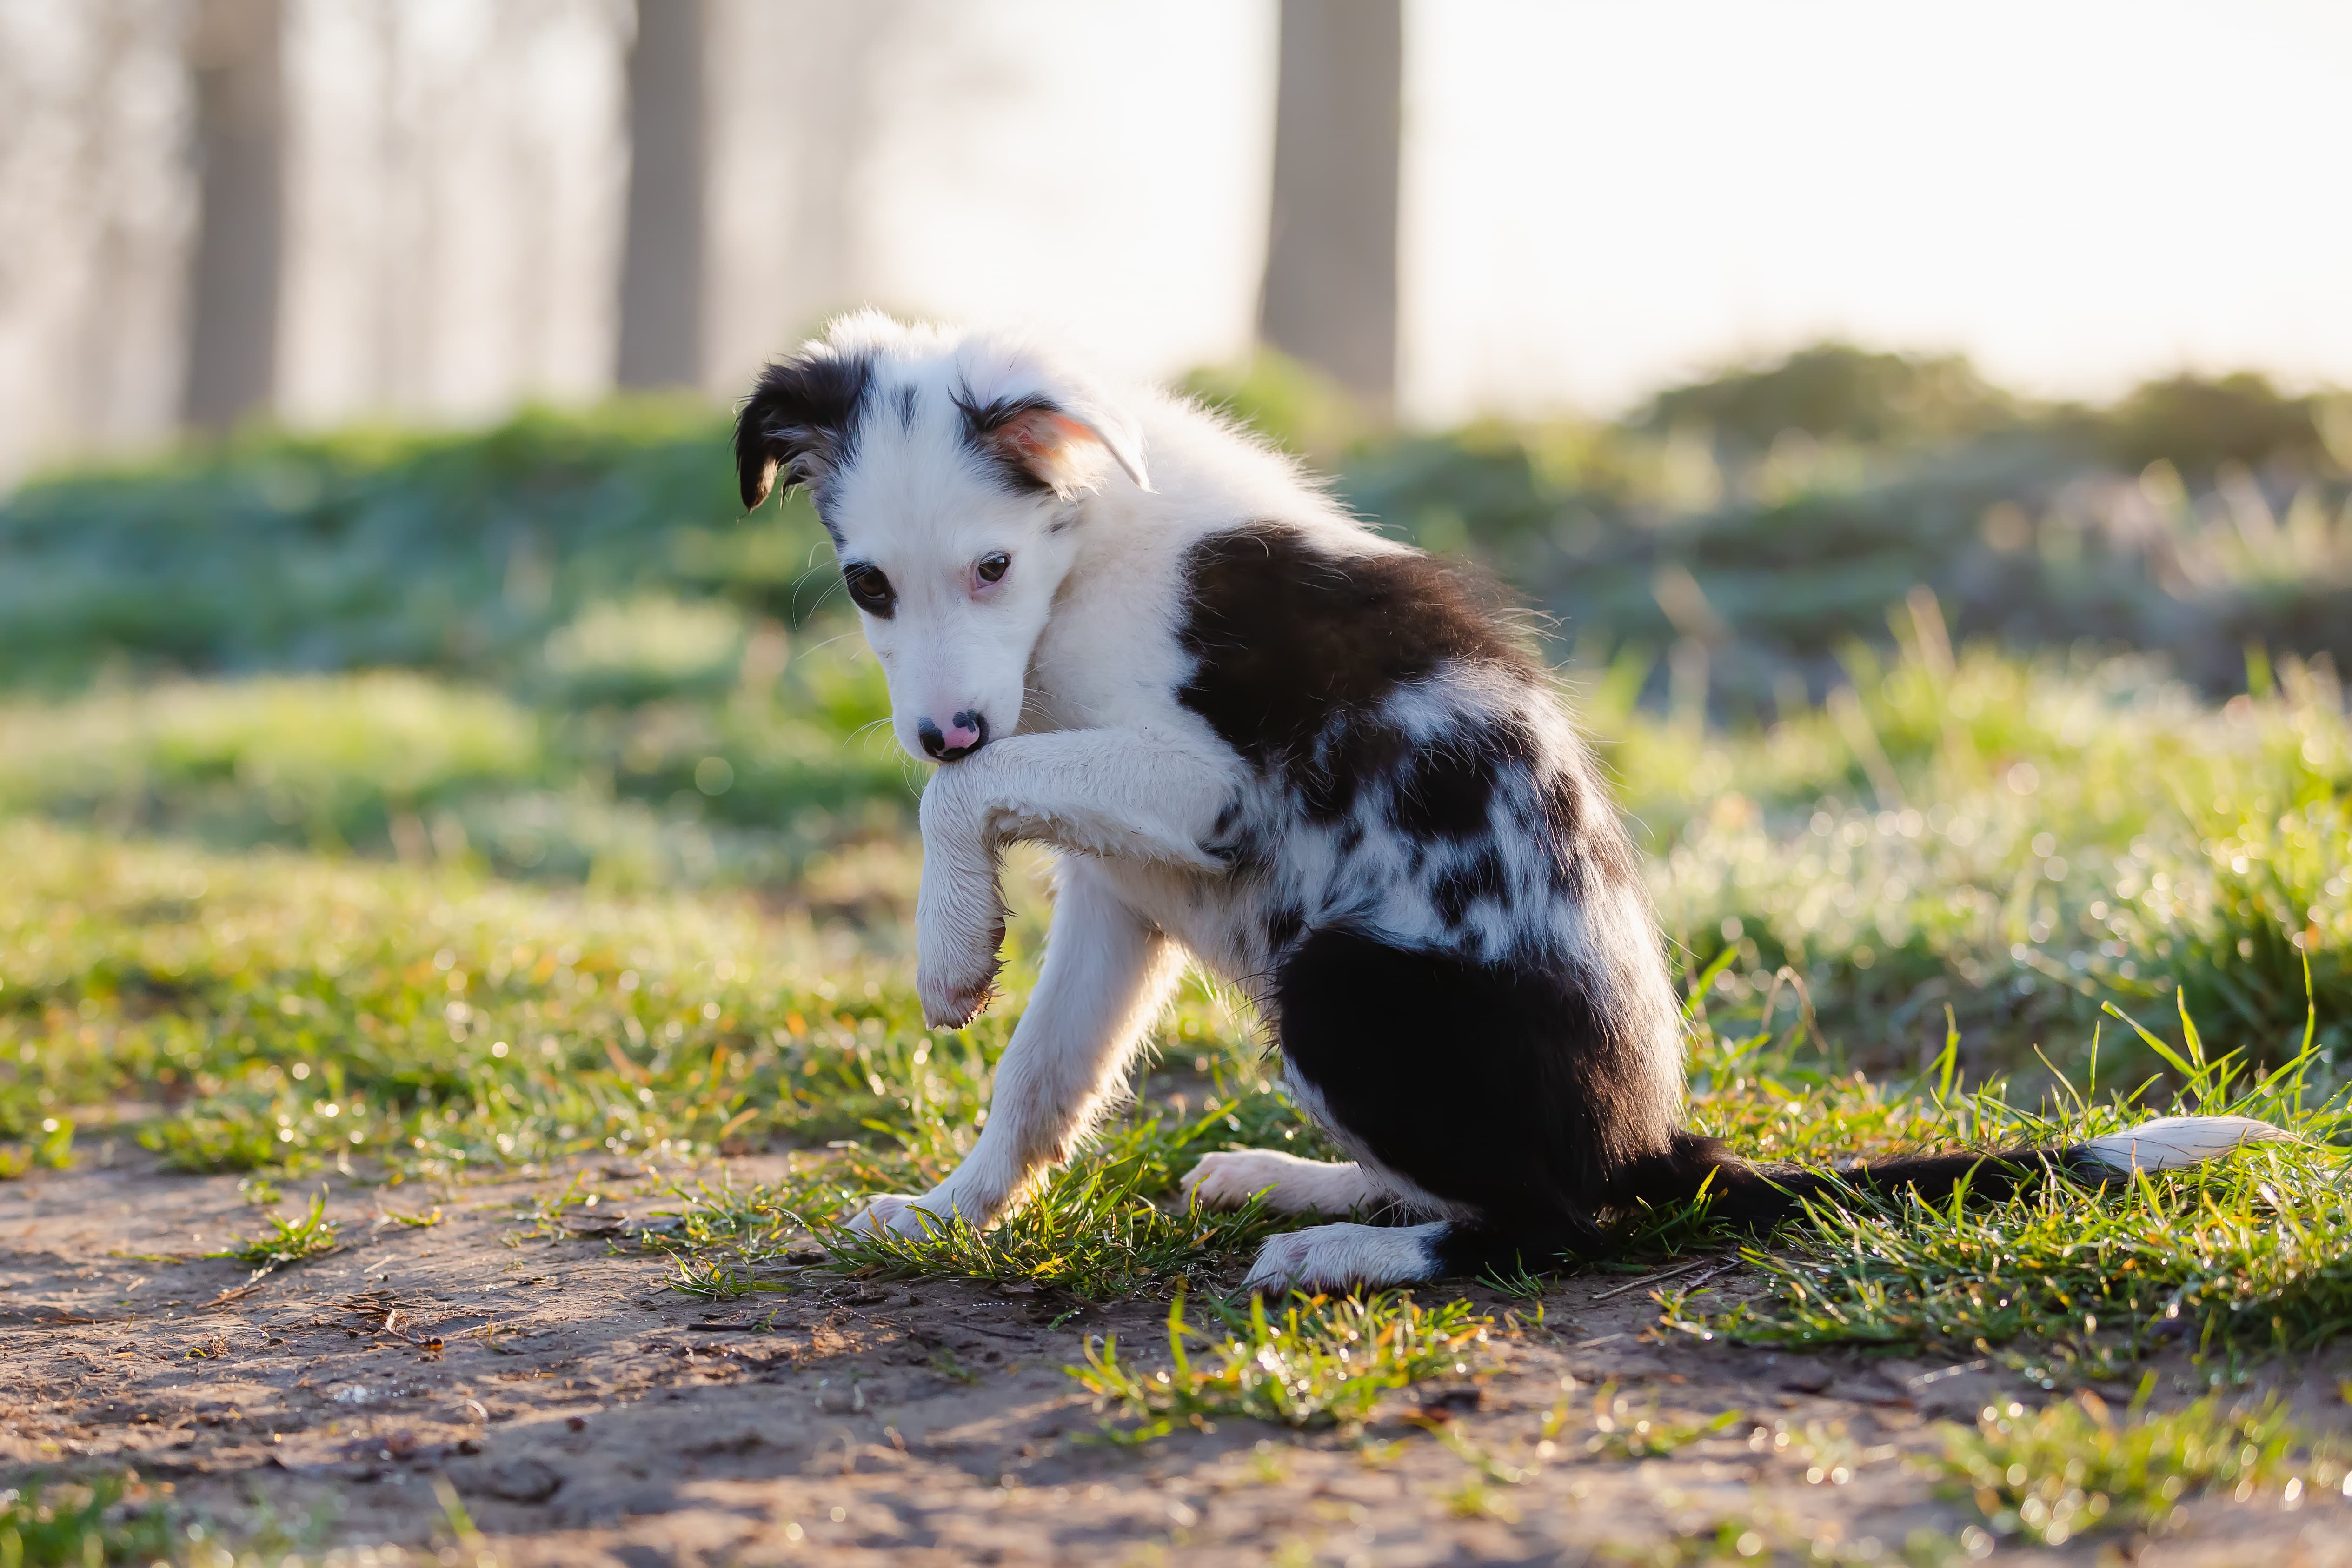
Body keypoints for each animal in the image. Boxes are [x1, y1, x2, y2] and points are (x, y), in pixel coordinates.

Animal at [729, 312, 2277, 1297]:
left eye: (990, 566)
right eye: (870, 584)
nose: (942, 719)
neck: (1091, 548)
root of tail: (1660, 1149)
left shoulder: (1202, 781)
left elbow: (971, 796)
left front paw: (948, 943)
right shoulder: (1123, 886)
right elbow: (1040, 1077)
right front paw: (946, 1212)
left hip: (1341, 980)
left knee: (1551, 1224)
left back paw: (1340, 1251)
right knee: (1478, 1190)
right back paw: (1300, 1182)